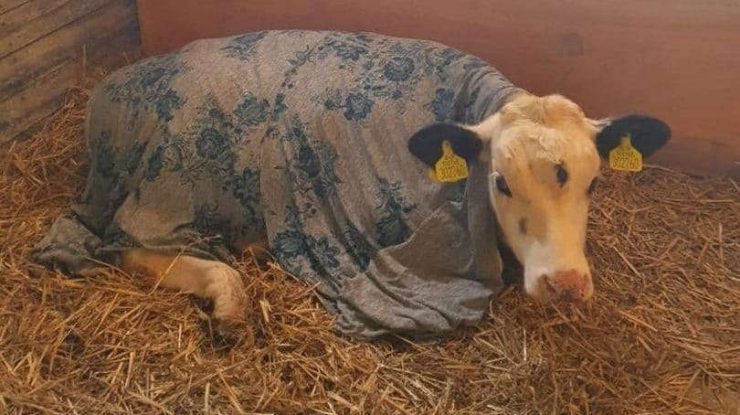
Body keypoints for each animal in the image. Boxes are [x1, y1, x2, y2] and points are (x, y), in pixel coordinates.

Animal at [32, 31, 670, 340]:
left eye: (593, 184)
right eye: (500, 183)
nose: (566, 284)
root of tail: (107, 92)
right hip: (173, 180)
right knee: (125, 244)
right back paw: (228, 300)